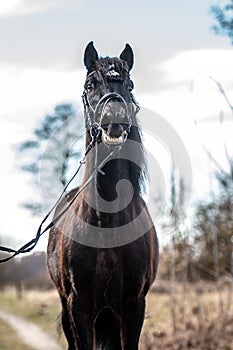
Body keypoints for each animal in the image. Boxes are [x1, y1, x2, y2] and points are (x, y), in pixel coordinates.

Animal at [48, 42, 159, 348]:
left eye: (129, 85)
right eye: (90, 85)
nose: (114, 121)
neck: (107, 223)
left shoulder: (134, 305)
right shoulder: (78, 305)